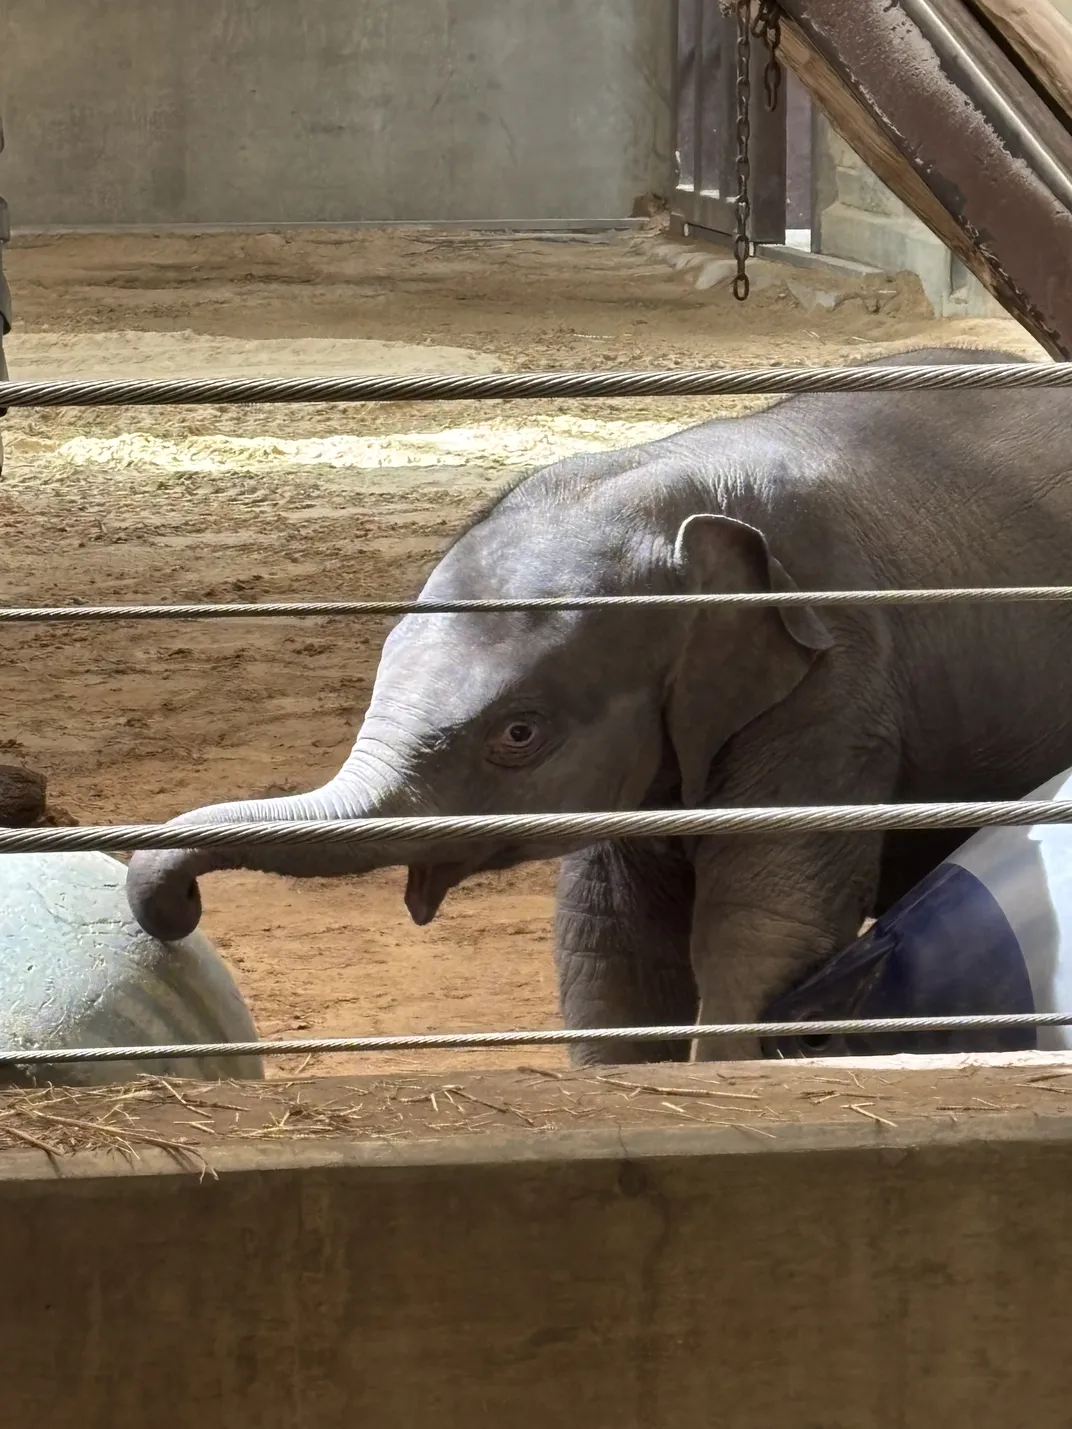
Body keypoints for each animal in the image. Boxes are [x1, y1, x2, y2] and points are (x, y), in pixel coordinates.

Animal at [127, 345, 1072, 1063]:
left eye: (519, 732)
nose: (175, 910)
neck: (680, 484)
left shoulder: (836, 685)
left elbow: (762, 928)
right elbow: (610, 941)